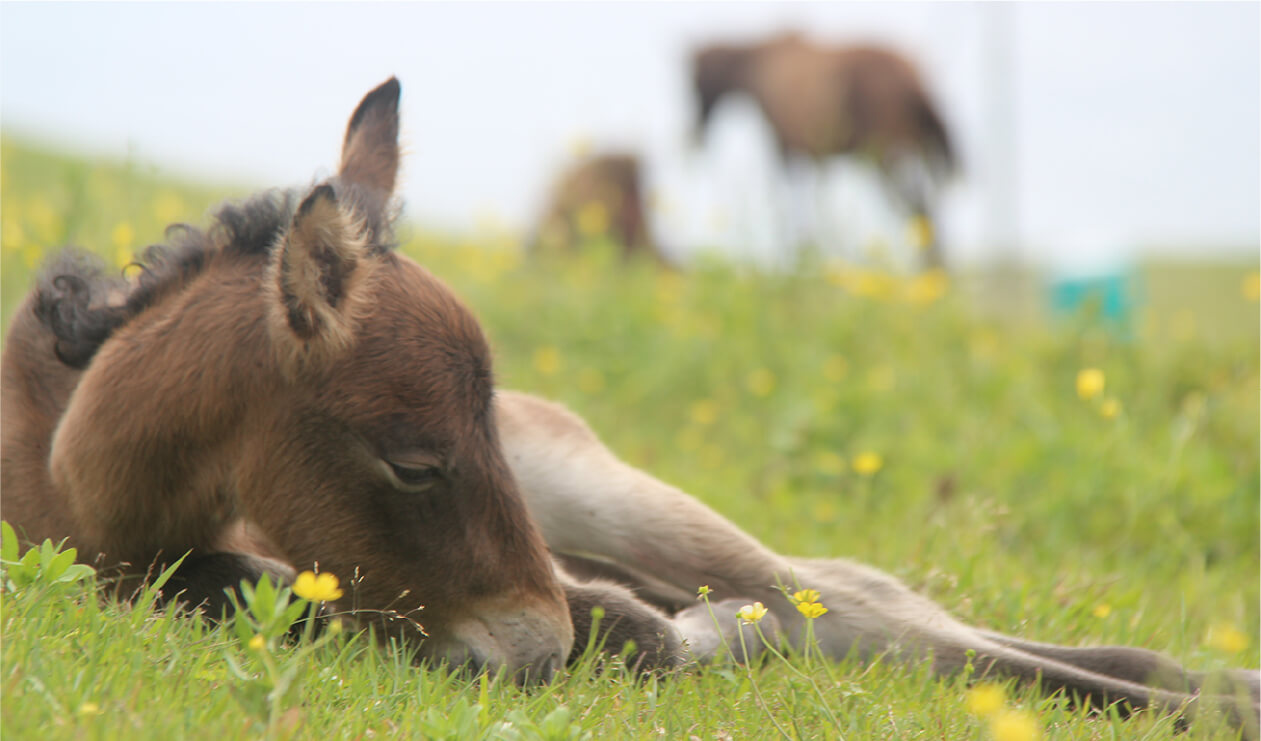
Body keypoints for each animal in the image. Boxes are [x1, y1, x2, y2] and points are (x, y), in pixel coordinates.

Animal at [696, 34, 948, 272]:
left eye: (696, 80)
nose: (699, 135)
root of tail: (915, 82)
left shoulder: (785, 149)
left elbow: (791, 199)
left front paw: (799, 254)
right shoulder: (812, 156)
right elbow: (814, 196)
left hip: (884, 152)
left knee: (917, 204)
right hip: (913, 149)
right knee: (925, 203)